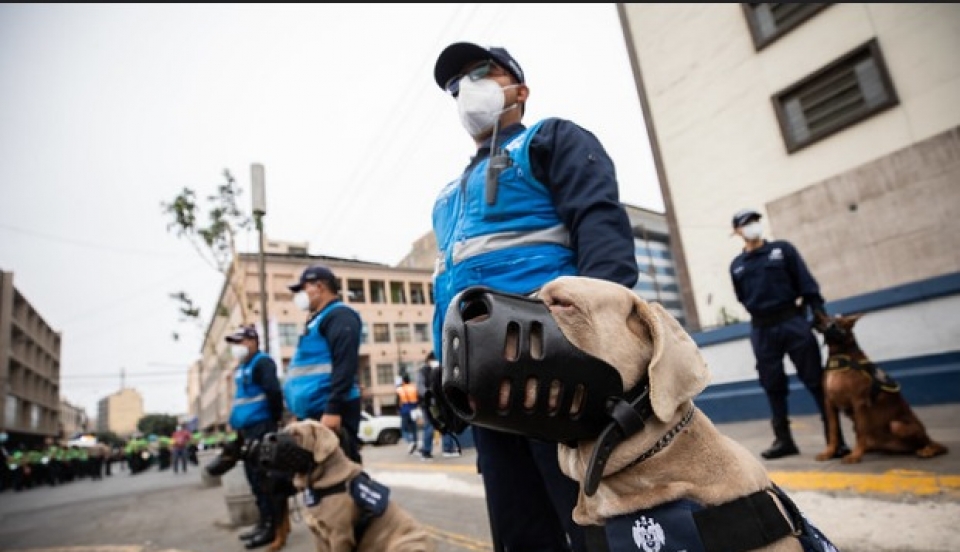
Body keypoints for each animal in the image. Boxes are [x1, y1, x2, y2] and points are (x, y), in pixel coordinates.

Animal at [268, 420, 436, 548]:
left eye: (297, 434)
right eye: (284, 429)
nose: (269, 438)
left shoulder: (340, 536)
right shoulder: (319, 537)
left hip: (404, 543)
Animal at [812, 312, 948, 464]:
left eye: (833, 321)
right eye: (825, 317)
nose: (815, 315)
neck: (840, 356)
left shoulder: (858, 402)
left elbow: (860, 433)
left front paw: (855, 456)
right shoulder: (829, 404)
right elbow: (833, 433)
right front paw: (829, 453)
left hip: (897, 425)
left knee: (933, 444)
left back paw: (928, 450)